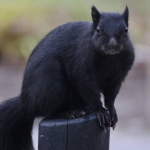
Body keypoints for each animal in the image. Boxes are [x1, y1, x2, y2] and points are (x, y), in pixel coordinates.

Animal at [0, 5, 134, 150]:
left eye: (126, 30)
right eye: (98, 29)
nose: (113, 44)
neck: (109, 58)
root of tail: (26, 102)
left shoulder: (117, 77)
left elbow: (111, 96)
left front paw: (111, 110)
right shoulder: (82, 70)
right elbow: (90, 91)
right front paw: (100, 111)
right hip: (50, 83)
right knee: (48, 111)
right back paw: (70, 113)